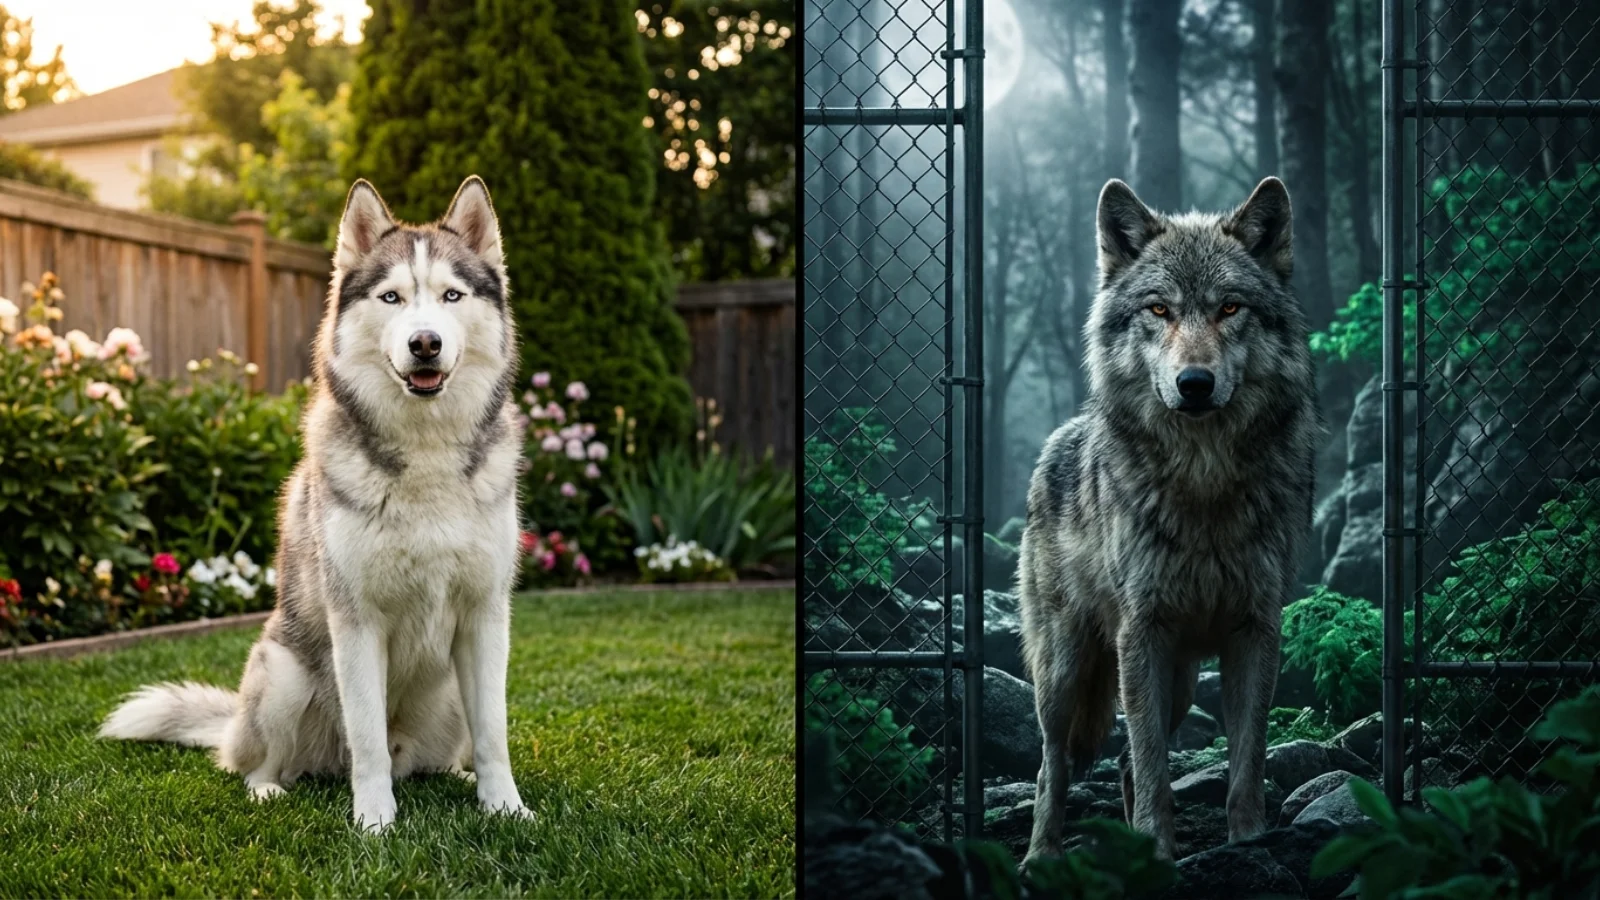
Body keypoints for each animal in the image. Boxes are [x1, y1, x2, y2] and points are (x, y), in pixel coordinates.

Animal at [101, 176, 531, 832]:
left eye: (451, 295)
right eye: (392, 297)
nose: (424, 343)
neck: (425, 449)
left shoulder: (485, 618)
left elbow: (494, 734)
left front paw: (504, 806)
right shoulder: (356, 621)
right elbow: (368, 739)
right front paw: (376, 823)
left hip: (449, 695)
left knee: (432, 757)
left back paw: (453, 777)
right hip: (281, 675)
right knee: (265, 763)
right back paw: (268, 790)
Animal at [1017, 177, 1322, 864]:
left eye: (1230, 308)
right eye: (1159, 310)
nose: (1195, 382)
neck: (1203, 483)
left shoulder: (1255, 631)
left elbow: (1246, 759)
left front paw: (1249, 843)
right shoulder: (1143, 633)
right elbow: (1154, 758)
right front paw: (1158, 849)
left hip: (1179, 683)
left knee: (1124, 763)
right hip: (1065, 672)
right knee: (1054, 764)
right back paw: (1041, 854)